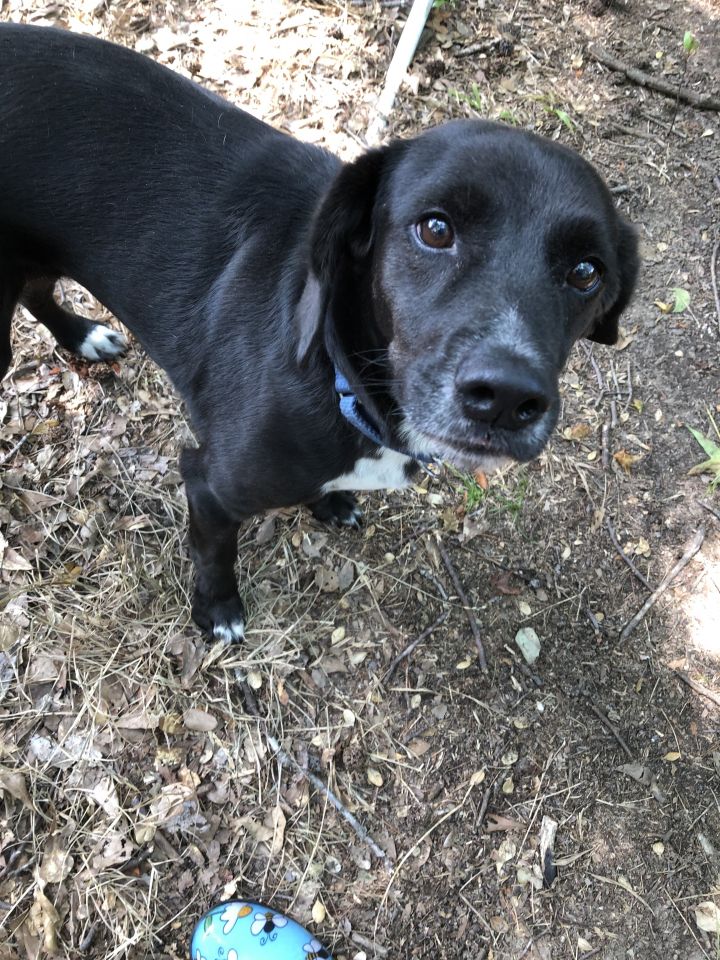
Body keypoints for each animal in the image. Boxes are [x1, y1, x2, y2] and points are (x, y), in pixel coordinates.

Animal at [1, 22, 640, 640]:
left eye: (587, 272)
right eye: (435, 229)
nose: (505, 397)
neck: (339, 375)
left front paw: (330, 503)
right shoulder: (206, 483)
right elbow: (214, 553)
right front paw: (218, 610)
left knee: (37, 291)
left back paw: (81, 336)